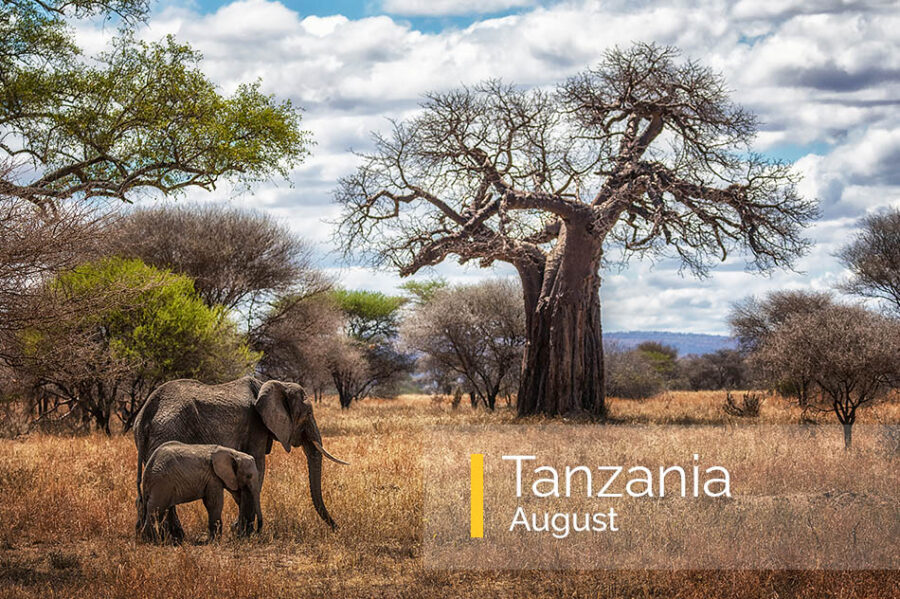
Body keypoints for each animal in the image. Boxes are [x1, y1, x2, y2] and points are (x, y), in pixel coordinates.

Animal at [133, 376, 348, 540]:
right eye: (307, 414)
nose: (337, 528)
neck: (273, 384)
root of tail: (145, 414)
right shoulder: (256, 426)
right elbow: (258, 467)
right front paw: (245, 531)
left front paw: (240, 529)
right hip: (169, 431)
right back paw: (175, 537)